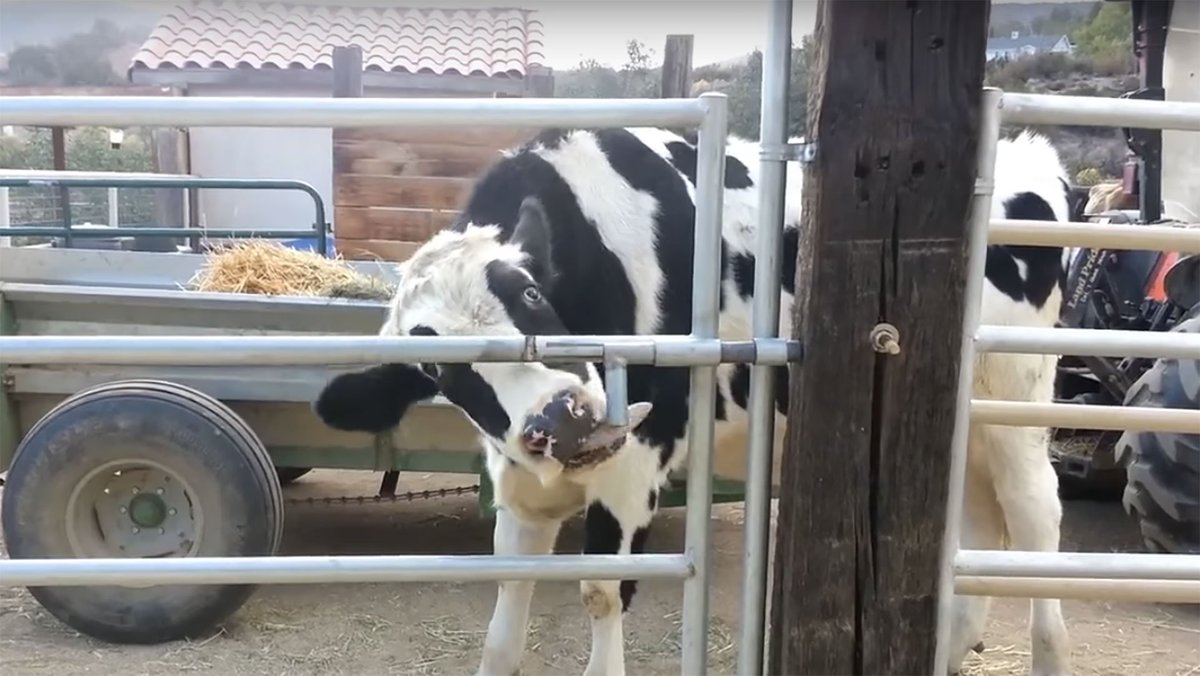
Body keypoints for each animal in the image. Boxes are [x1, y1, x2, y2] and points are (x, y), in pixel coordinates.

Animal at [314, 127, 1073, 676]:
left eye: (528, 293)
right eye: (439, 371)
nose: (562, 417)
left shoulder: (636, 461)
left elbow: (602, 591)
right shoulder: (520, 484)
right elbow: (505, 618)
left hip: (1017, 402)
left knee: (1037, 518)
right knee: (978, 527)